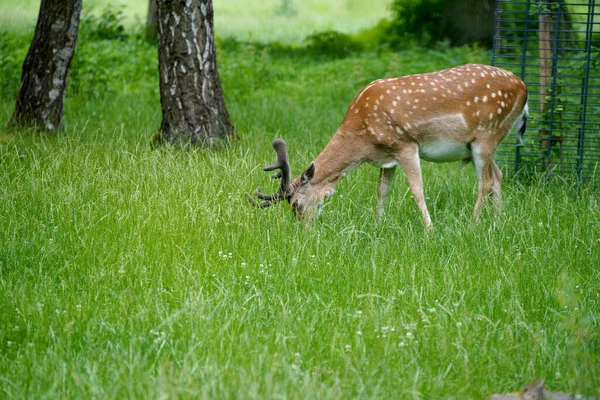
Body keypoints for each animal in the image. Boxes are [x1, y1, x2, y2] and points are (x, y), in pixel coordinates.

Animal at [246, 65, 528, 228]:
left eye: (295, 204)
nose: (302, 228)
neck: (362, 137)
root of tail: (524, 89)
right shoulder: (387, 156)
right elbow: (381, 191)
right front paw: (378, 225)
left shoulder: (405, 144)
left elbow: (417, 189)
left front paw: (429, 230)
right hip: (483, 141)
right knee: (498, 175)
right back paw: (497, 223)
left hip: (487, 134)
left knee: (486, 181)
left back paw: (473, 223)